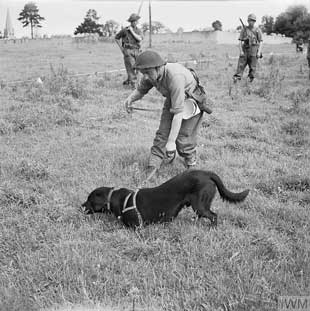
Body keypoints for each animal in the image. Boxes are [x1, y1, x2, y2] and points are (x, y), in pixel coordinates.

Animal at [81, 171, 249, 229]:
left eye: (89, 199)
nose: (81, 206)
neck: (118, 199)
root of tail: (207, 173)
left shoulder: (136, 228)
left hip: (200, 205)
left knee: (213, 216)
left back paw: (212, 228)